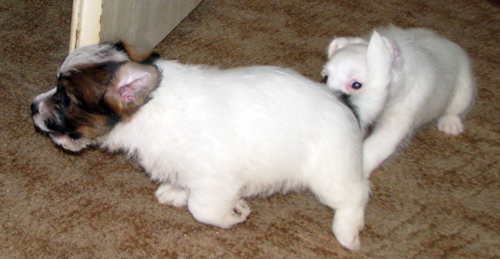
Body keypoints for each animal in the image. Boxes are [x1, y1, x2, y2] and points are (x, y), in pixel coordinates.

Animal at [30, 34, 390, 250]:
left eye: (64, 98)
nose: (32, 107)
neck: (149, 109)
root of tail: (345, 102)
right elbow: (185, 186)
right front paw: (176, 192)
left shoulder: (216, 178)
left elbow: (202, 209)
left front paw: (234, 214)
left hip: (330, 175)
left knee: (357, 194)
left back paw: (347, 232)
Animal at [322, 25, 474, 178]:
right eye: (325, 78)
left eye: (356, 85)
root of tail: (446, 41)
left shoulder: (395, 123)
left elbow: (373, 148)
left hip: (464, 89)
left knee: (455, 109)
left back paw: (450, 123)